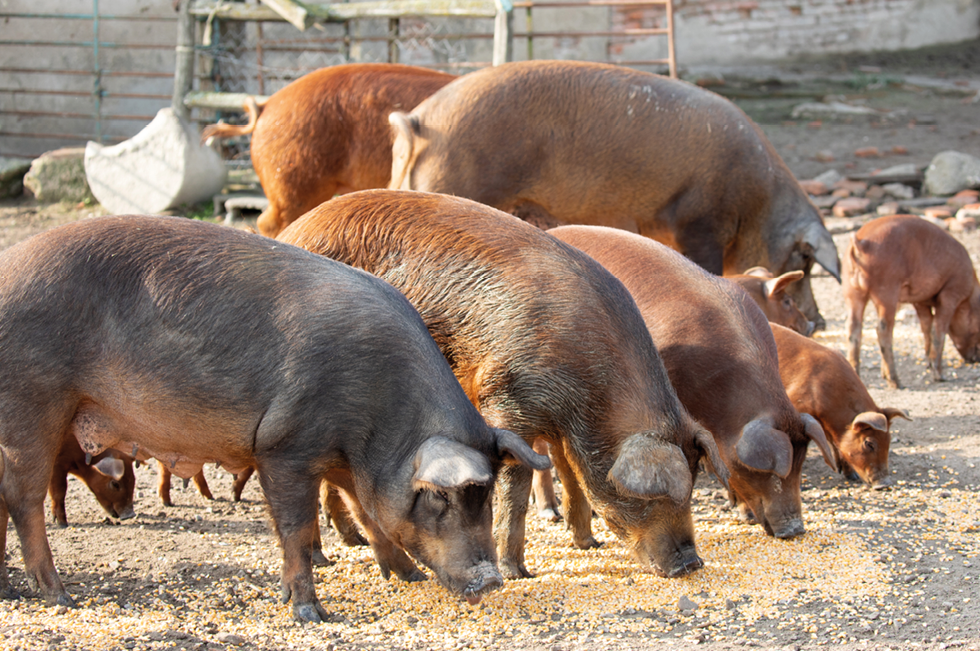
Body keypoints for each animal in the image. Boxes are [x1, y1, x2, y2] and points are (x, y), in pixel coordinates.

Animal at [0, 215, 549, 622]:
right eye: (441, 497)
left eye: (485, 496)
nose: (490, 580)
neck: (378, 420)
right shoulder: (284, 447)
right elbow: (296, 527)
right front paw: (309, 612)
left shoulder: (346, 463)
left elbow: (369, 514)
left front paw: (405, 577)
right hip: (33, 401)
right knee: (22, 498)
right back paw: (61, 596)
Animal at [278, 189, 731, 580]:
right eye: (653, 496)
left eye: (693, 487)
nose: (691, 563)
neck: (589, 394)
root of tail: (291, 231)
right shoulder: (509, 401)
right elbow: (516, 491)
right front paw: (518, 572)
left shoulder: (562, 427)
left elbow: (572, 476)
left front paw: (588, 544)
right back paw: (324, 558)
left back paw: (348, 544)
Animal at [844, 215, 980, 388]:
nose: (975, 359)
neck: (970, 295)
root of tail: (861, 244)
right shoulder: (951, 293)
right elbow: (939, 331)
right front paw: (939, 376)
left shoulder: (920, 301)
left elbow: (926, 327)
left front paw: (927, 363)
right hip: (886, 290)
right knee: (882, 329)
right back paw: (896, 382)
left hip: (851, 291)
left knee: (853, 328)